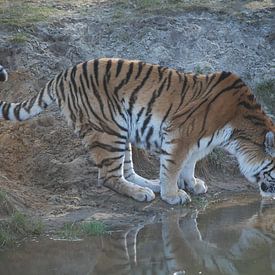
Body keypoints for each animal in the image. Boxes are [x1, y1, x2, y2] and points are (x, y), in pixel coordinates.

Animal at [0, 58, 275, 205]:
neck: (239, 134)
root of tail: (63, 74)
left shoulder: (198, 143)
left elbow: (190, 164)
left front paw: (191, 183)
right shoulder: (179, 134)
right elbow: (173, 166)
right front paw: (173, 195)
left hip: (122, 133)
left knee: (127, 171)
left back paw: (150, 185)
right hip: (108, 131)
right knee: (108, 177)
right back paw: (142, 192)